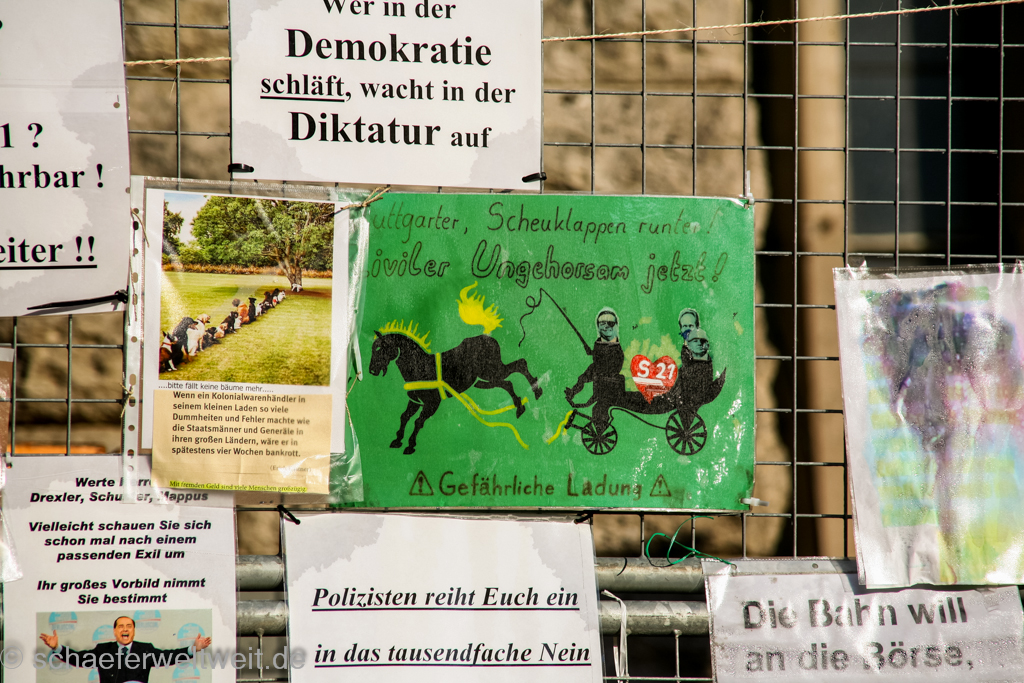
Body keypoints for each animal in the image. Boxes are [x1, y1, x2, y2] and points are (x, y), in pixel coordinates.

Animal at [369, 331, 543, 454]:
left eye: (381, 348)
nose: (372, 370)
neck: (419, 368)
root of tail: (489, 339)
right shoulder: (415, 401)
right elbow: (404, 417)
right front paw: (397, 440)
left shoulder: (432, 404)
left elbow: (418, 421)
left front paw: (410, 445)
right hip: (487, 377)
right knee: (508, 383)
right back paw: (520, 406)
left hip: (492, 372)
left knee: (520, 365)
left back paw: (536, 391)